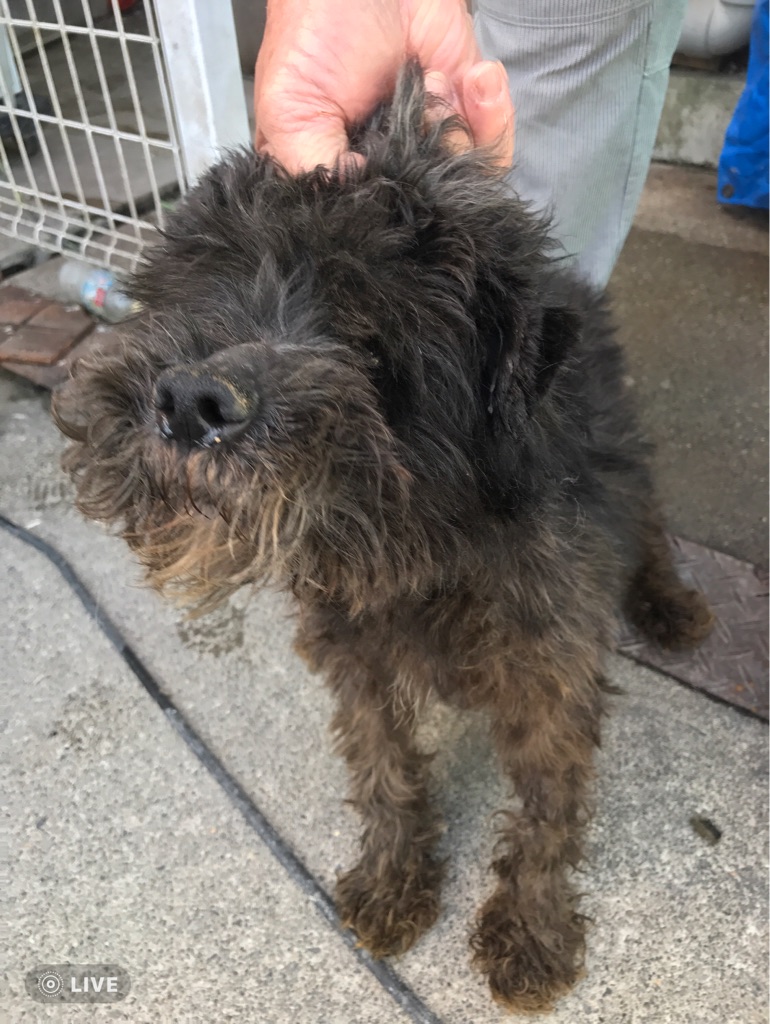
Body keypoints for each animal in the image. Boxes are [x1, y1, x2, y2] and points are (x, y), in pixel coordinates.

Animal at [53, 64, 713, 1012]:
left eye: (368, 326)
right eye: (201, 285)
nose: (186, 400)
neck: (422, 544)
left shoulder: (550, 665)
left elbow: (548, 808)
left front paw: (531, 929)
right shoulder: (354, 655)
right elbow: (382, 769)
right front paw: (394, 881)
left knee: (650, 518)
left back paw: (669, 602)